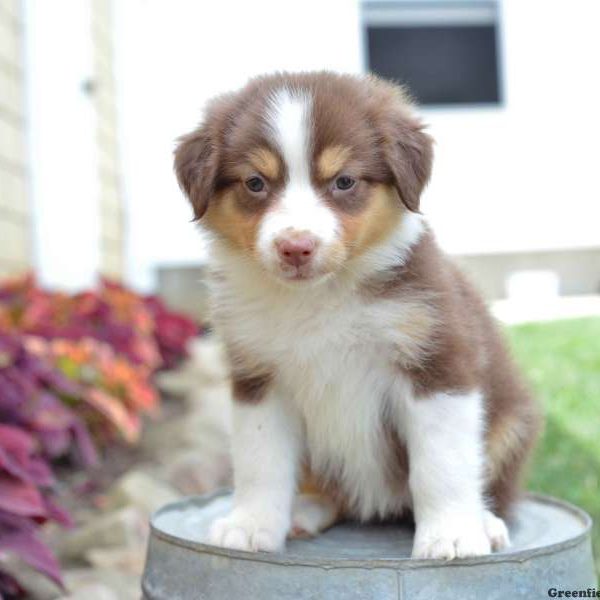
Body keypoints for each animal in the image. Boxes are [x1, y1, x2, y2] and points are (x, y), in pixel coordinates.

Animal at [172, 72, 540, 560]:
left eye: (344, 181)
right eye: (255, 183)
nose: (295, 247)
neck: (320, 297)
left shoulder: (437, 363)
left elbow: (441, 464)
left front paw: (452, 535)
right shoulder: (258, 377)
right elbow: (259, 461)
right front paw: (251, 526)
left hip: (511, 419)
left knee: (495, 485)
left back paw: (486, 521)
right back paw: (305, 511)